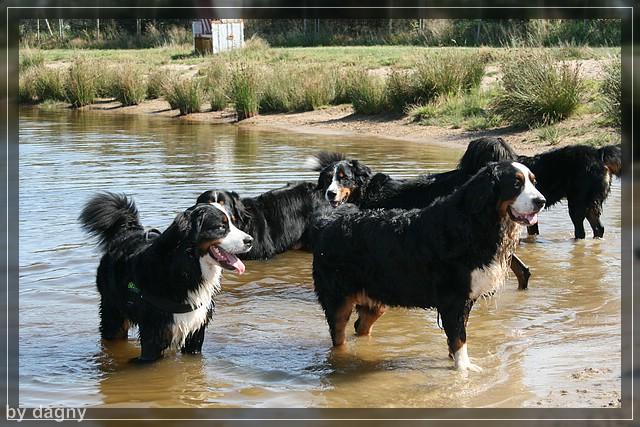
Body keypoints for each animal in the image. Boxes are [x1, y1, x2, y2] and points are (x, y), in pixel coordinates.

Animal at [78, 192, 252, 362]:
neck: (187, 268)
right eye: (221, 227)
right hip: (113, 315)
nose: (250, 240)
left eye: (233, 223)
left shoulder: (195, 333)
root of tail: (126, 232)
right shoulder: (153, 333)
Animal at [312, 160, 544, 372]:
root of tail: (327, 223)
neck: (473, 224)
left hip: (378, 298)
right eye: (516, 183)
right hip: (339, 300)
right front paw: (464, 370)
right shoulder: (453, 298)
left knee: (361, 326)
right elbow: (460, 337)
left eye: (533, 181)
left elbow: (457, 335)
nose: (541, 201)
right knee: (339, 336)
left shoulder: (466, 299)